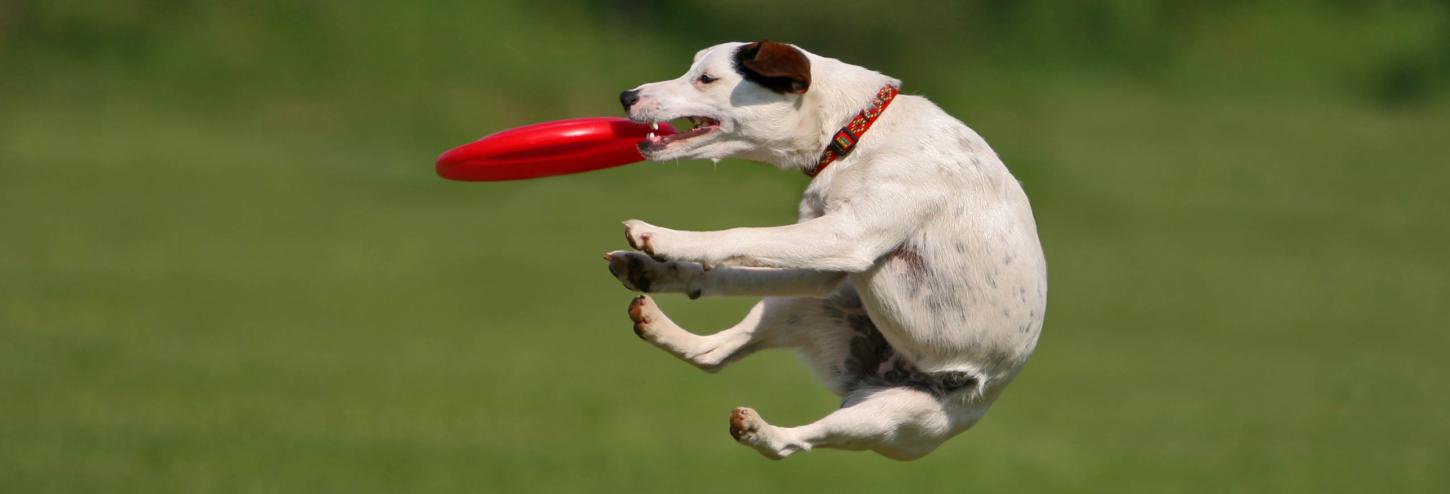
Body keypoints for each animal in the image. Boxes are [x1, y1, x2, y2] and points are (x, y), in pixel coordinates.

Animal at [600, 40, 1044, 460]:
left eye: (706, 79)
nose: (626, 96)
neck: (856, 132)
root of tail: (880, 368)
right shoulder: (823, 267)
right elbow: (728, 269)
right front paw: (662, 269)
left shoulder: (848, 235)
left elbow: (738, 235)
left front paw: (663, 238)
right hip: (805, 304)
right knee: (713, 354)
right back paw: (655, 314)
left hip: (896, 416)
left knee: (794, 444)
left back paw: (763, 431)